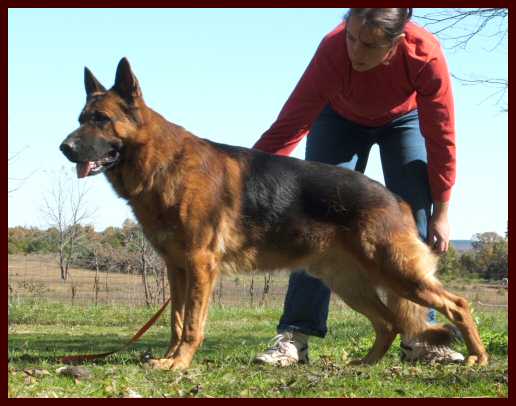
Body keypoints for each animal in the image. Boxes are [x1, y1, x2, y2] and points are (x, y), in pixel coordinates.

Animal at [60, 58, 488, 372]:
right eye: (80, 117)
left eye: (100, 119)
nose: (64, 148)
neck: (162, 163)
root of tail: (394, 198)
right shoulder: (177, 269)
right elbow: (176, 322)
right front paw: (169, 359)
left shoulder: (199, 267)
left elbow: (193, 324)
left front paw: (179, 364)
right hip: (351, 283)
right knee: (388, 323)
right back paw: (365, 364)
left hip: (396, 272)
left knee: (456, 305)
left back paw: (478, 357)